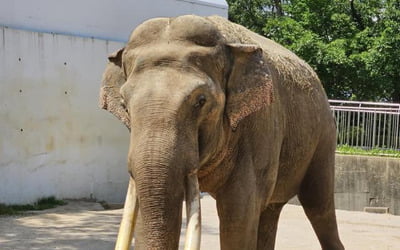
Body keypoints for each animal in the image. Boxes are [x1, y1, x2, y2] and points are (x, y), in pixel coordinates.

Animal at [99, 14, 344, 249]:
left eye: (201, 101)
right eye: (124, 105)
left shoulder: (257, 130)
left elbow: (238, 215)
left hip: (324, 137)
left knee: (318, 206)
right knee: (270, 211)